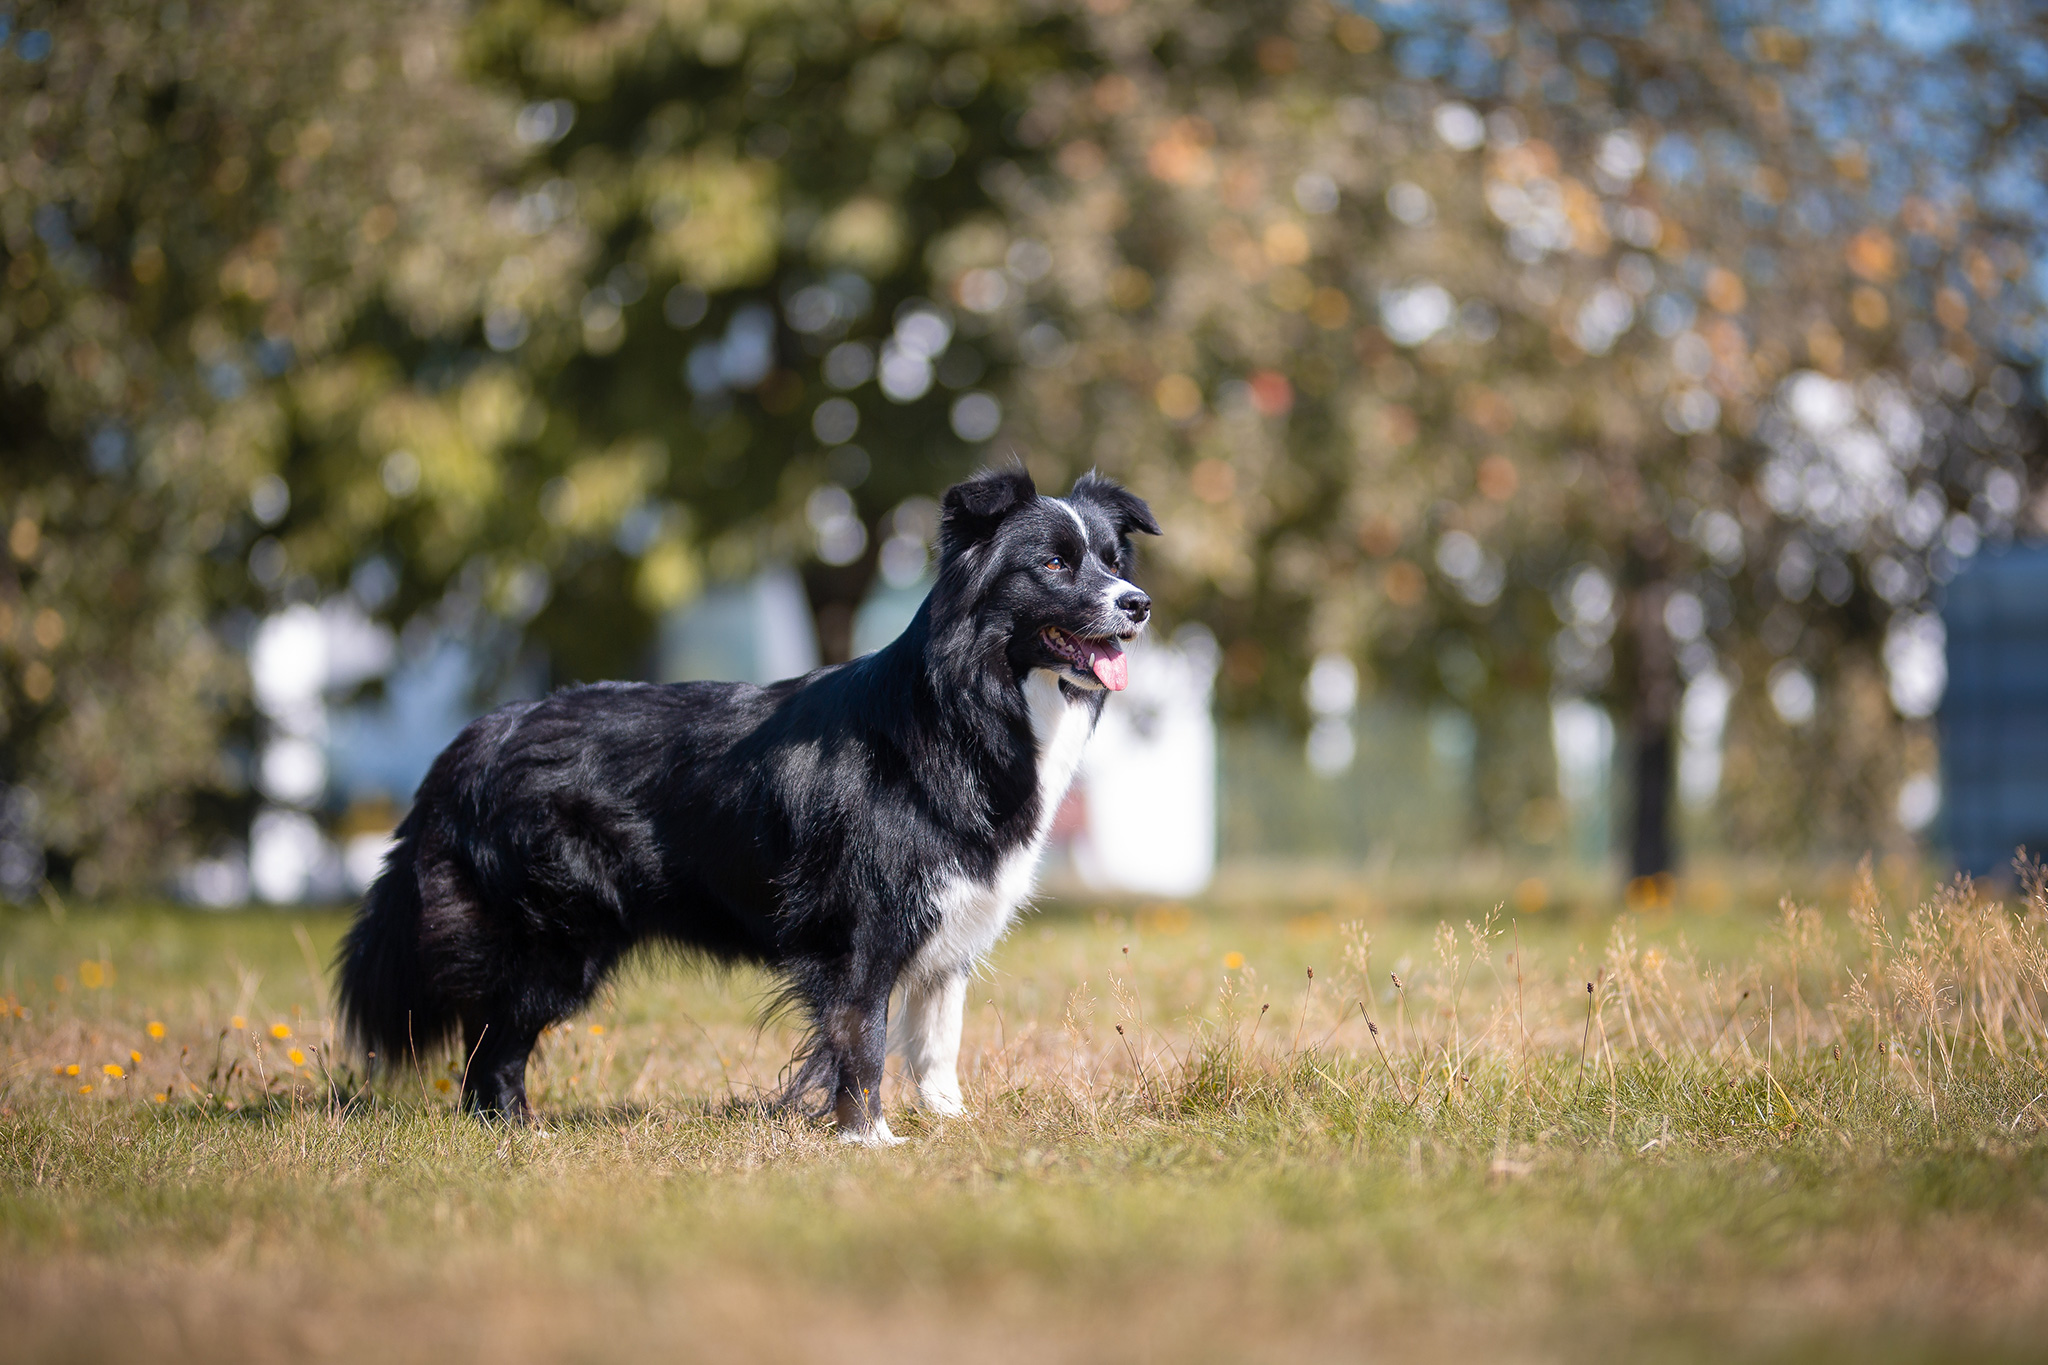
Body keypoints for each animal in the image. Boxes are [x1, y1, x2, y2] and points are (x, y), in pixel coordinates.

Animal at [344, 470, 1163, 1146]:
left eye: (1114, 561)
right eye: (1052, 564)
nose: (1139, 604)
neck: (965, 709)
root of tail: (475, 740)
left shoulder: (952, 927)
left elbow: (937, 1040)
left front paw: (950, 1126)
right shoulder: (863, 928)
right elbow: (863, 1039)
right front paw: (869, 1141)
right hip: (553, 934)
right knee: (493, 1039)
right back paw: (513, 1131)